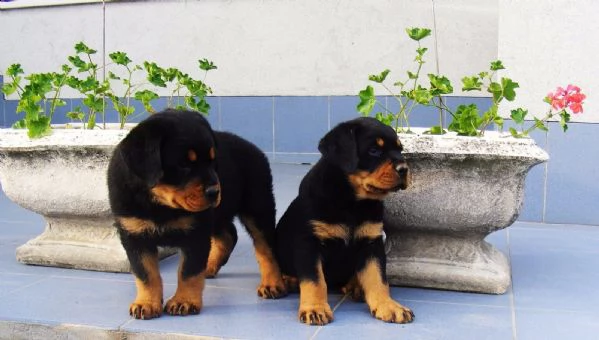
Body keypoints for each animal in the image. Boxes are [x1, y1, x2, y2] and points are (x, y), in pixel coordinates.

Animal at [108, 108, 288, 318]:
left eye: (212, 161)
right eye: (184, 164)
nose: (214, 192)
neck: (159, 204)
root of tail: (255, 148)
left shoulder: (196, 231)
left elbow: (189, 271)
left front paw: (183, 301)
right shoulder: (134, 235)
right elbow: (145, 273)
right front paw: (147, 303)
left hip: (258, 205)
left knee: (265, 247)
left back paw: (272, 283)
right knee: (229, 234)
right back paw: (210, 265)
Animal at [276, 117, 412, 326]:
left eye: (400, 149)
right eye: (374, 150)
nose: (404, 169)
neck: (351, 202)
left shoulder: (371, 242)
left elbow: (378, 278)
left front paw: (388, 306)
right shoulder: (309, 243)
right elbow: (315, 280)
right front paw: (315, 309)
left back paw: (357, 286)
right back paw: (289, 280)